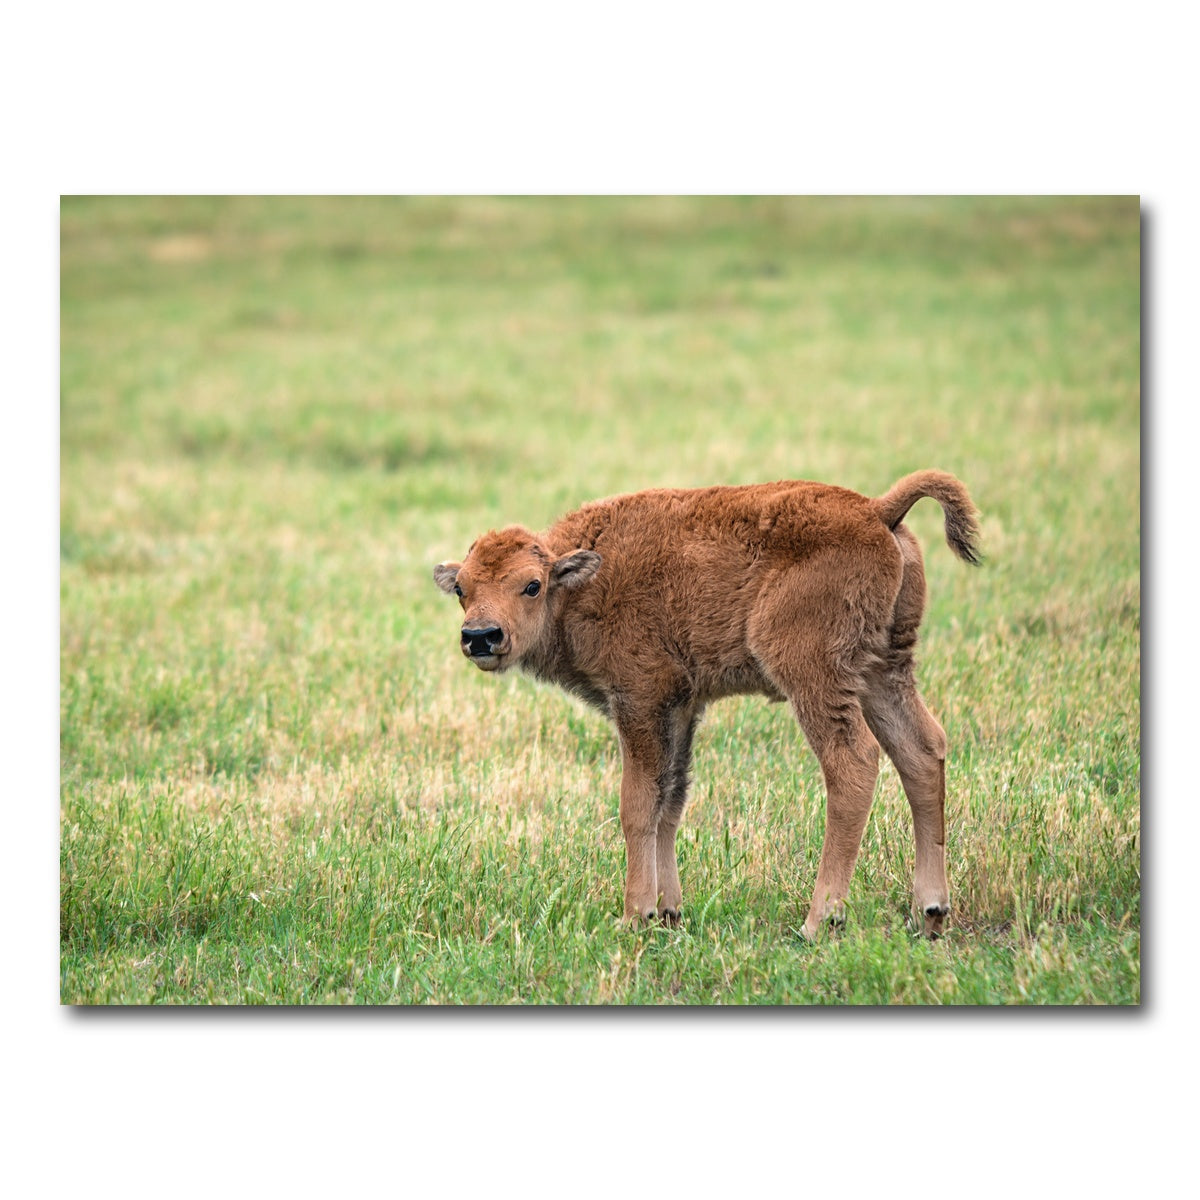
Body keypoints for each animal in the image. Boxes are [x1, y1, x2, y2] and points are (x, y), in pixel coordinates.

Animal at [433, 470, 981, 938]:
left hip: (816, 676)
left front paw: (634, 915)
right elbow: (670, 801)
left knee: (853, 764)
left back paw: (818, 920)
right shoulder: (681, 707)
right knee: (921, 751)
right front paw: (669, 913)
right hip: (883, 670)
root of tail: (876, 510)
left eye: (531, 585)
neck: (580, 579)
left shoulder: (640, 699)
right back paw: (930, 912)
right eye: (462, 588)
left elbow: (637, 805)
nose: (480, 636)